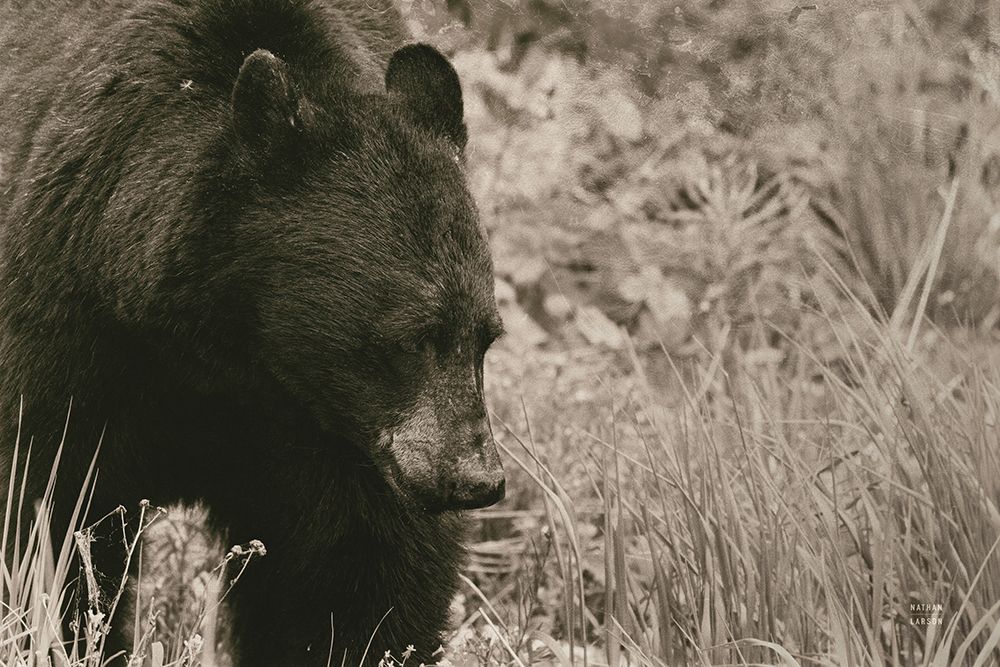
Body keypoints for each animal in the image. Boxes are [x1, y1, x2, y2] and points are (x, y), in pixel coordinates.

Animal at [0, 0, 506, 665]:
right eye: (412, 337)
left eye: (486, 337)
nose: (478, 479)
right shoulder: (71, 324)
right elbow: (47, 505)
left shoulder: (334, 432)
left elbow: (360, 561)